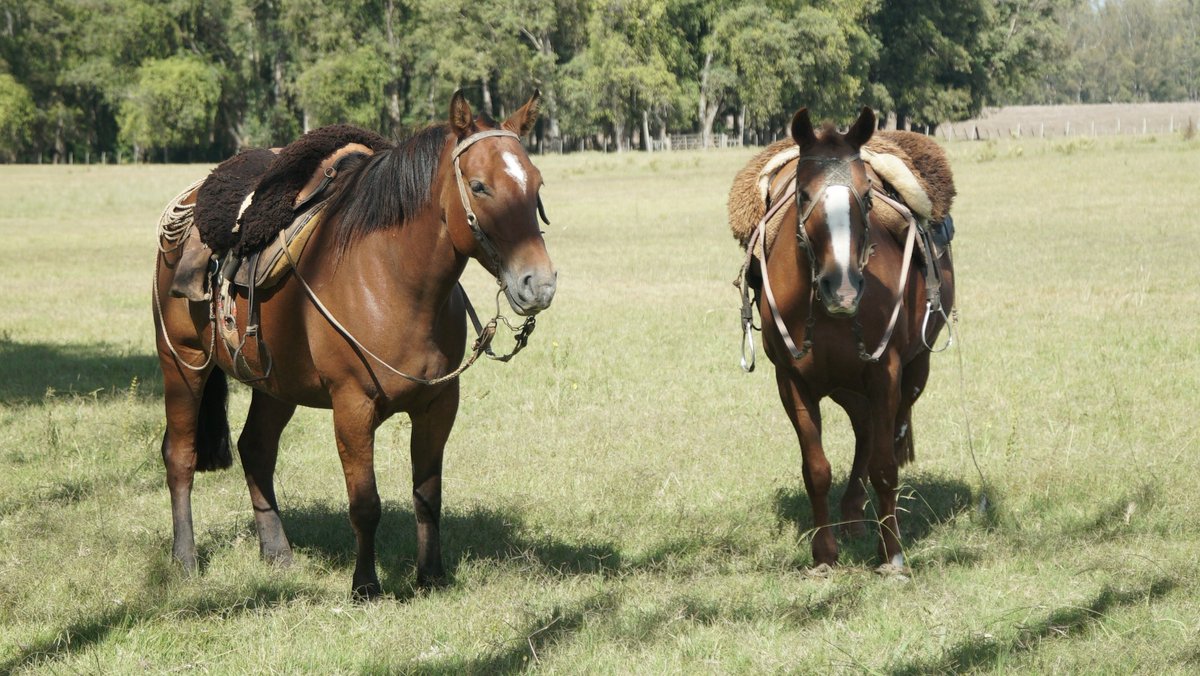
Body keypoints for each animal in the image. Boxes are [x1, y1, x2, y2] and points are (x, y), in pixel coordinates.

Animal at [151, 91, 556, 597]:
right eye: (479, 186)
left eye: (537, 184)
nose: (539, 283)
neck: (394, 279)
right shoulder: (352, 406)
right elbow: (365, 503)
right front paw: (365, 585)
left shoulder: (439, 404)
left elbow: (428, 495)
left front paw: (431, 577)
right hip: (182, 364)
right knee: (180, 456)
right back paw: (185, 557)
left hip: (275, 383)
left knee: (256, 450)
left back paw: (277, 552)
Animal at [748, 106, 955, 571]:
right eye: (804, 194)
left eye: (866, 196)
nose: (841, 289)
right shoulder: (792, 381)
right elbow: (817, 469)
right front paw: (824, 555)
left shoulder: (886, 372)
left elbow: (885, 466)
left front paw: (891, 555)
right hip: (845, 384)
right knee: (863, 430)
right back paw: (852, 516)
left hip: (914, 371)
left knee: (884, 435)